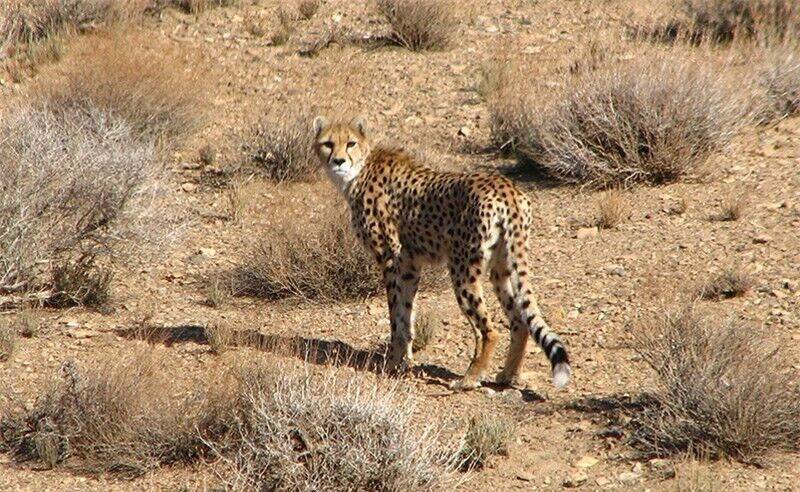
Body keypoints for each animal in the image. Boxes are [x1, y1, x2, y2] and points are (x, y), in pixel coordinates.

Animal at [312, 115, 568, 388]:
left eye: (350, 143)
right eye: (328, 143)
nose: (338, 161)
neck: (359, 170)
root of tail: (505, 187)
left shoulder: (391, 259)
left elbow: (396, 317)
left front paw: (392, 363)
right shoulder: (410, 266)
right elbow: (406, 314)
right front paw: (405, 362)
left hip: (462, 268)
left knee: (489, 330)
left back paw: (469, 378)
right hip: (501, 268)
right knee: (519, 321)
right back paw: (507, 375)